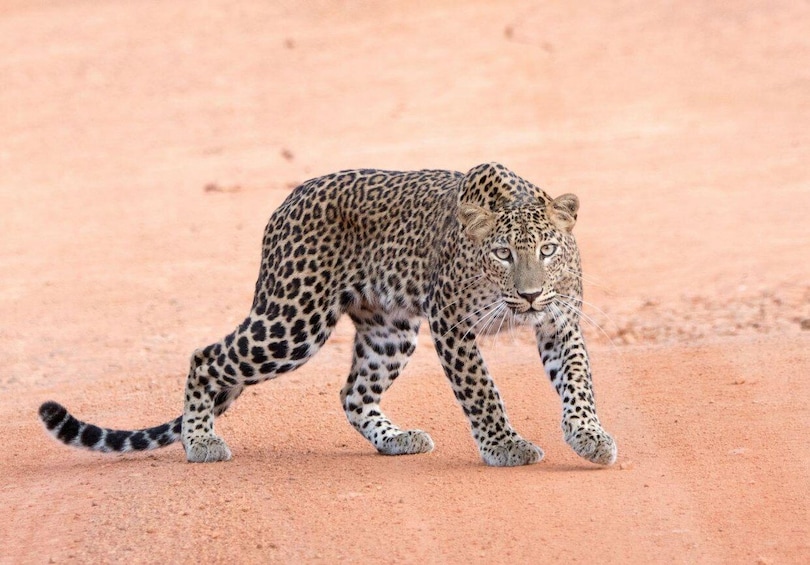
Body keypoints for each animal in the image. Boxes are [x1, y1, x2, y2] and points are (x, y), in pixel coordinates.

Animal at [39, 162, 617, 467]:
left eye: (547, 250)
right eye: (502, 254)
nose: (529, 296)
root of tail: (287, 200)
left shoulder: (560, 323)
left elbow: (578, 383)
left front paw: (589, 437)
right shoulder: (452, 324)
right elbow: (482, 392)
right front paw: (506, 446)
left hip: (389, 331)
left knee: (353, 393)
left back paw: (395, 439)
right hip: (292, 321)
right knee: (206, 356)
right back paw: (200, 441)